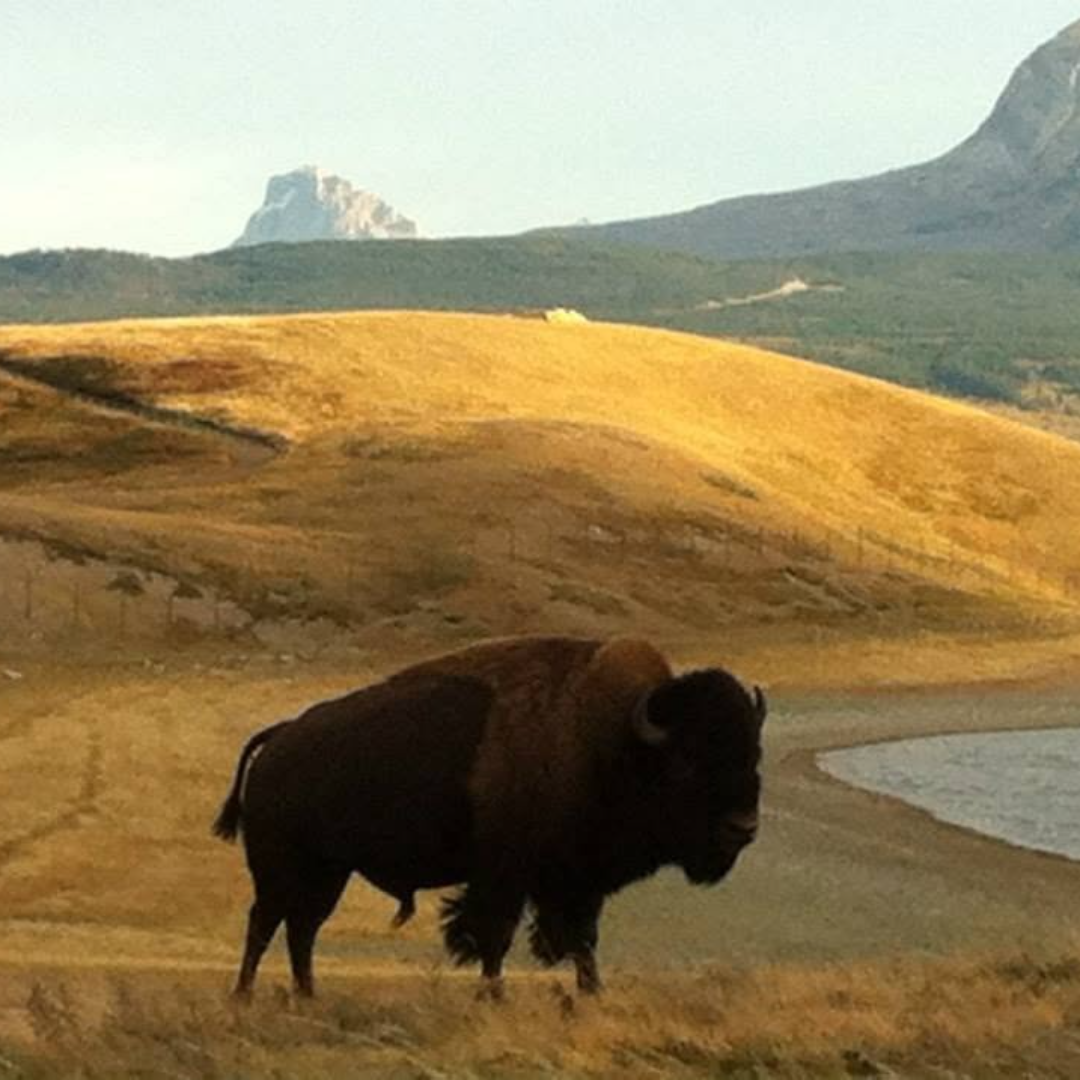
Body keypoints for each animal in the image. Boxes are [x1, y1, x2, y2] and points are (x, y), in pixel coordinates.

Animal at [213, 635, 766, 999]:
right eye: (688, 760)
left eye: (753, 753)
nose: (743, 828)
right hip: (282, 869)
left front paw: (592, 992)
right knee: (266, 922)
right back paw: (244, 995)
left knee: (301, 927)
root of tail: (280, 738)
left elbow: (583, 939)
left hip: (329, 872)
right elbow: (494, 935)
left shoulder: (577, 883)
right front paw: (494, 994)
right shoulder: (505, 876)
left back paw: (307, 995)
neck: (612, 744)